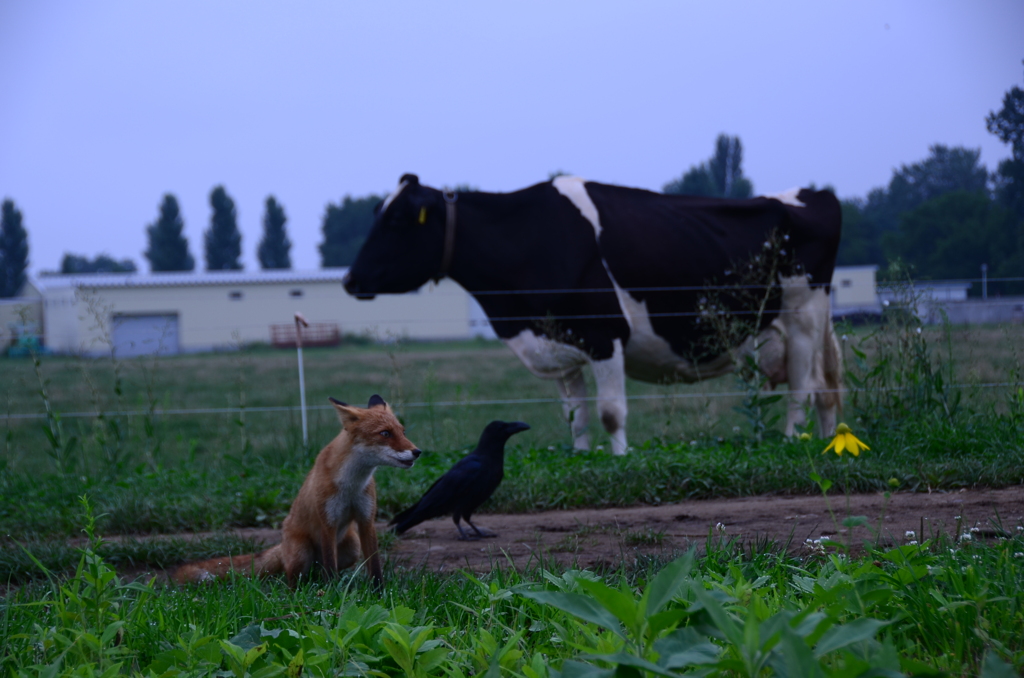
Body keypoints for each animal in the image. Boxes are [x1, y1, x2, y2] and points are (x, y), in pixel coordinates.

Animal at [174, 395, 421, 585]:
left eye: (403, 431)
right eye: (385, 433)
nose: (417, 452)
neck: (351, 484)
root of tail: (282, 544)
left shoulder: (365, 519)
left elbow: (375, 567)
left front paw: (378, 594)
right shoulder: (328, 521)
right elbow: (330, 565)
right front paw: (331, 594)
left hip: (352, 548)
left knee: (319, 570)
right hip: (302, 553)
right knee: (293, 578)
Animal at [344, 174, 839, 456]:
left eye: (396, 221)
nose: (349, 279)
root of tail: (813, 194)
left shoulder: (605, 335)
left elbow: (611, 412)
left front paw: (620, 457)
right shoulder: (559, 344)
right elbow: (575, 416)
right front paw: (582, 455)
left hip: (803, 315)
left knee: (803, 388)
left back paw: (792, 439)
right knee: (826, 390)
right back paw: (828, 440)